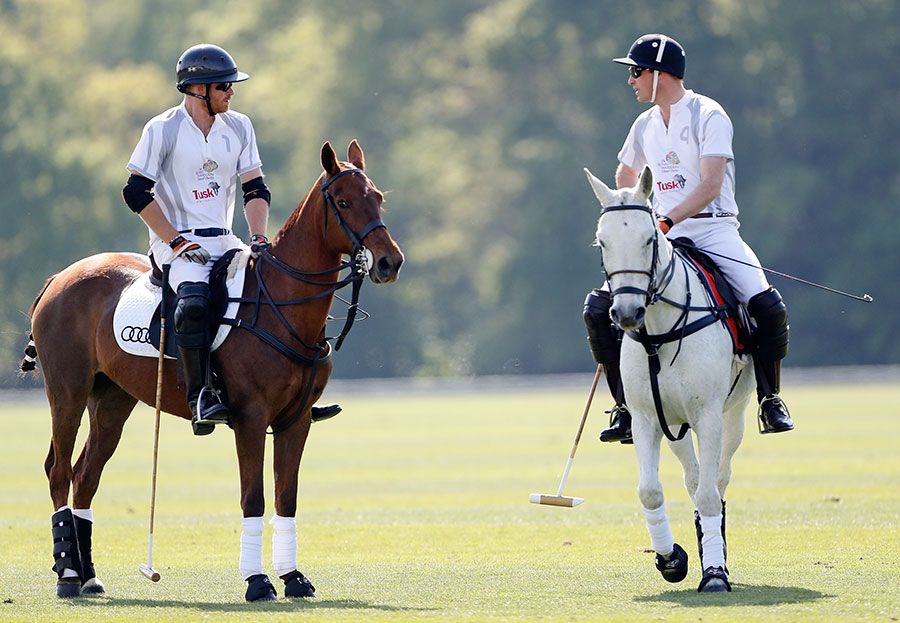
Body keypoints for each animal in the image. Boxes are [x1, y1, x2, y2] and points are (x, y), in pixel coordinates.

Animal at [22, 140, 404, 600]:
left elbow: (287, 498)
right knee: (58, 470)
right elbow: (253, 497)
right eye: (344, 202)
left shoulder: (295, 421)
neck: (281, 306)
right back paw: (68, 575)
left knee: (85, 476)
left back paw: (90, 575)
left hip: (113, 398)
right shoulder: (251, 416)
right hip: (68, 391)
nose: (389, 262)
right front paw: (257, 582)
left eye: (378, 197)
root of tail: (59, 277)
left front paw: (294, 578)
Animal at [588, 163, 756, 592]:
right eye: (602, 243)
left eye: (649, 239)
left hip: (735, 413)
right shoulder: (648, 418)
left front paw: (714, 574)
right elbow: (650, 492)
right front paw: (672, 559)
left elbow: (711, 495)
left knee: (718, 480)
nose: (626, 313)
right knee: (694, 479)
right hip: (675, 425)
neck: (659, 335)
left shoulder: (708, 416)